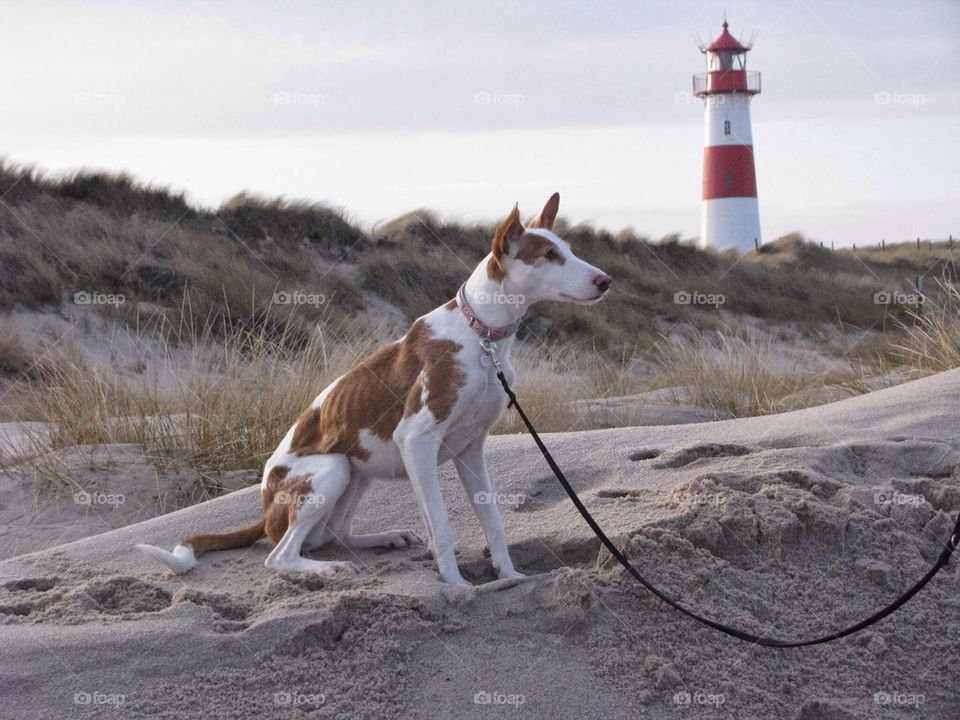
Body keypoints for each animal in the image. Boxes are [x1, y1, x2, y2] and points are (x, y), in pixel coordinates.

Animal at [136, 194, 612, 588]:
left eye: (568, 250)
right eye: (549, 256)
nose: (605, 281)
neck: (483, 339)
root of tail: (265, 507)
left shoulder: (471, 447)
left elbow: (493, 521)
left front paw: (510, 576)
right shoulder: (416, 440)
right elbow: (442, 526)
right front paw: (457, 586)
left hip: (358, 473)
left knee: (334, 534)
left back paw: (382, 538)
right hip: (330, 470)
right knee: (280, 554)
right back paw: (326, 569)